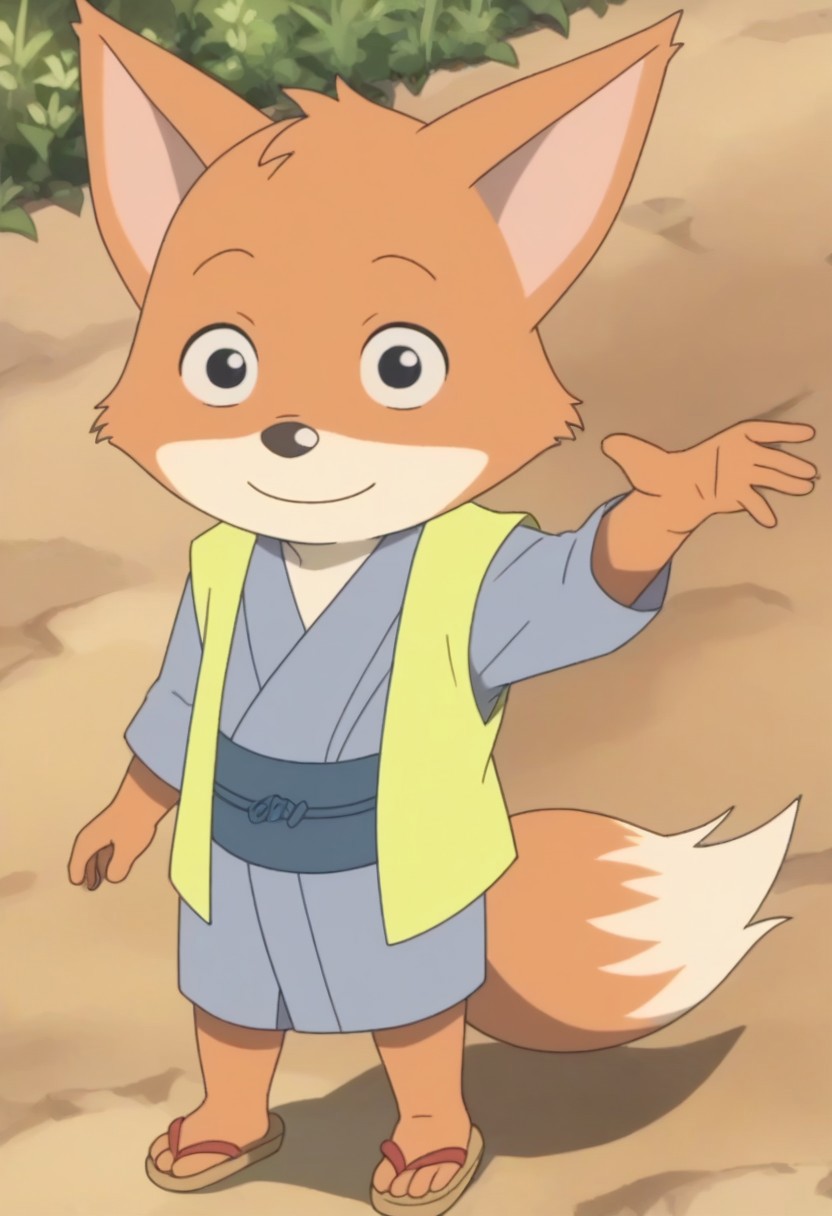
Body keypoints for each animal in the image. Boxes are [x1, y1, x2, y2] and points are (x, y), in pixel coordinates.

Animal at [66, 2, 817, 1213]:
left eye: (402, 366)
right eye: (222, 363)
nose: (287, 434)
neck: (325, 550)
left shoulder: (487, 596)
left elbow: (574, 590)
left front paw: (681, 492)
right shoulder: (203, 610)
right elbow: (175, 717)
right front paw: (110, 832)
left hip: (394, 932)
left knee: (416, 1028)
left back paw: (426, 1150)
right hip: (230, 918)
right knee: (236, 1013)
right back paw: (222, 1133)